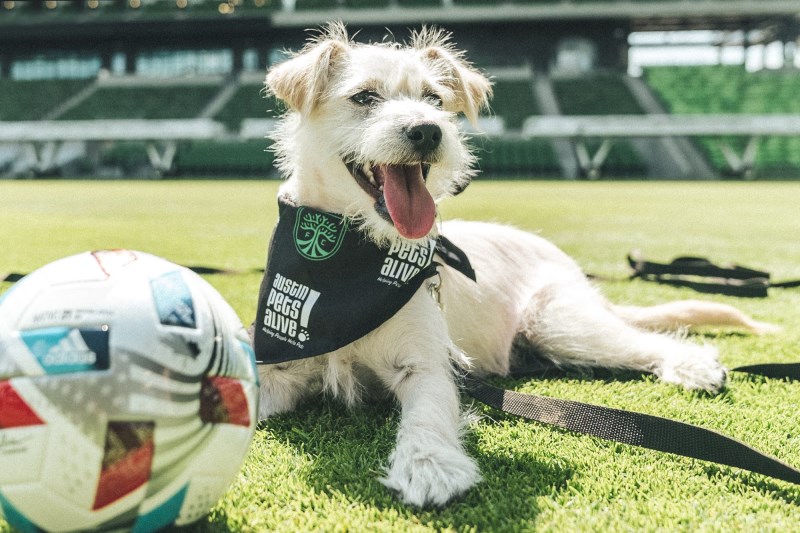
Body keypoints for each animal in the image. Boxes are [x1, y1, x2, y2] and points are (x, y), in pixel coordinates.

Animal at [258, 23, 776, 508]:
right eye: (364, 97)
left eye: (435, 99)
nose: (429, 130)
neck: (348, 262)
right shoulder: (275, 367)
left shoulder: (426, 364)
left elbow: (428, 411)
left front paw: (428, 463)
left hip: (558, 321)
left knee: (641, 342)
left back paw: (693, 365)